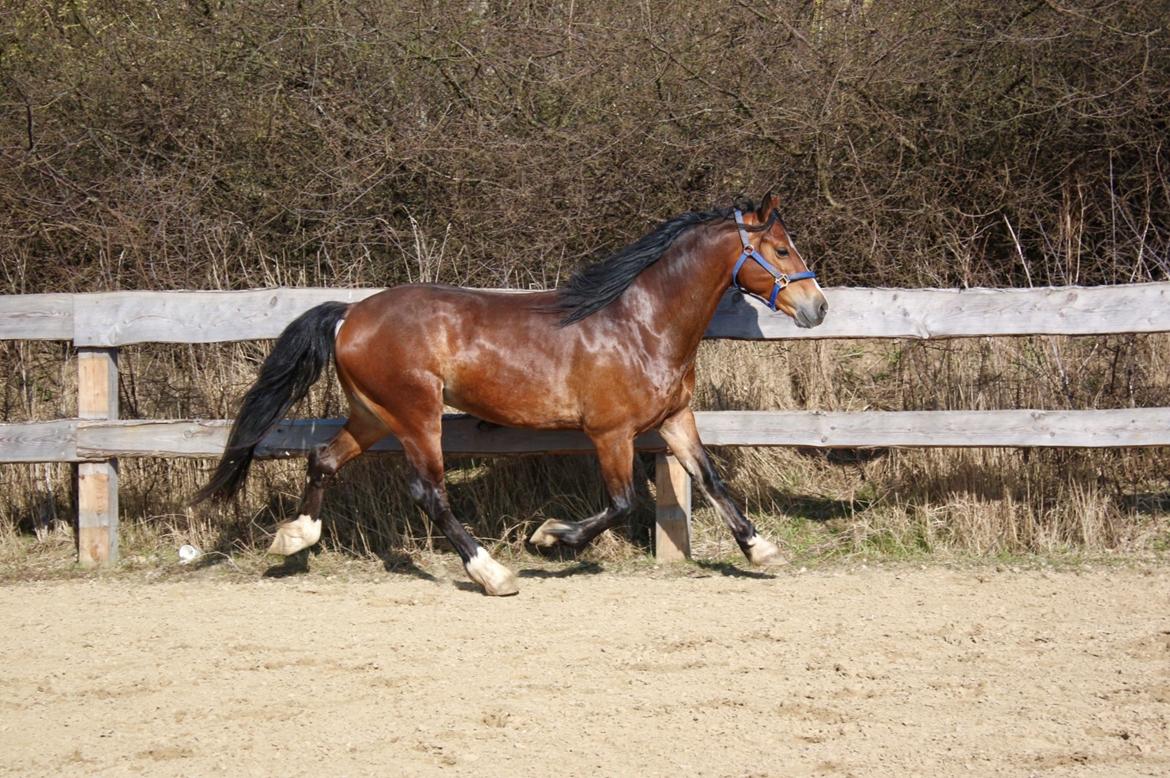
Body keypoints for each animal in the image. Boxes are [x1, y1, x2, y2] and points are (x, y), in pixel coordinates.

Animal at [191, 194, 828, 594]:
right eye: (780, 250)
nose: (818, 307)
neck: (641, 325)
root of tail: (350, 314)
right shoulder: (611, 432)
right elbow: (622, 503)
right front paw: (549, 538)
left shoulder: (675, 419)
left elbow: (711, 479)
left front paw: (761, 549)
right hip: (416, 414)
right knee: (429, 492)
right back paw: (492, 573)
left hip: (373, 413)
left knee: (323, 459)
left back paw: (294, 538)